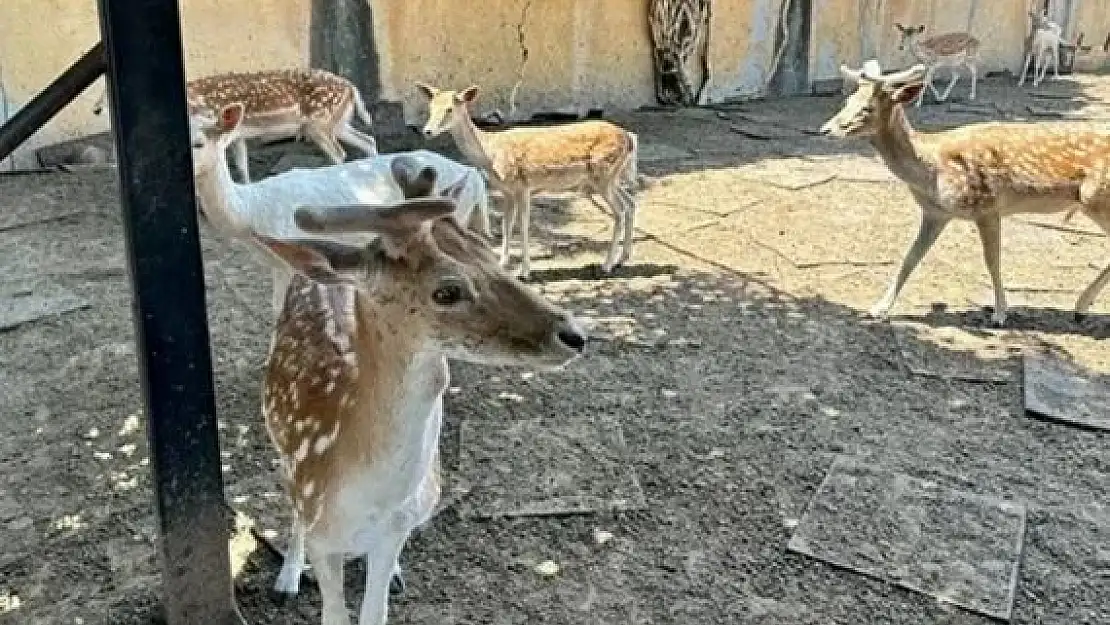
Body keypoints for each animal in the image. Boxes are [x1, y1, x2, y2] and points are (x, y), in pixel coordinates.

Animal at [97, 67, 379, 182]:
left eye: (111, 93)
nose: (96, 109)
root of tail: (352, 88)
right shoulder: (238, 134)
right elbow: (242, 164)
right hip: (337, 122)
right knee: (368, 140)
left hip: (318, 123)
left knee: (340, 153)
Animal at [254, 183, 586, 621]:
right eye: (447, 291)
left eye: (488, 251)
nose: (574, 335)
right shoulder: (323, 537)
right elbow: (334, 614)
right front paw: (293, 576)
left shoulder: (393, 531)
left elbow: (374, 614)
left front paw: (391, 577)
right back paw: (288, 576)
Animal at [415, 79, 643, 278]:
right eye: (431, 108)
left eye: (449, 109)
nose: (427, 131)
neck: (490, 152)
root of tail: (630, 138)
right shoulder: (506, 190)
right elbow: (506, 224)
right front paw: (502, 264)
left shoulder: (522, 186)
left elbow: (522, 225)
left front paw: (524, 272)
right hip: (610, 178)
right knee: (631, 203)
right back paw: (623, 258)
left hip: (603, 175)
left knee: (620, 211)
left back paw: (607, 265)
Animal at [816, 59, 1110, 328]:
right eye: (847, 100)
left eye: (868, 108)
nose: (825, 130)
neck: (931, 170)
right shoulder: (935, 213)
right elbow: (910, 258)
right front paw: (878, 308)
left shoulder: (987, 206)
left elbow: (992, 261)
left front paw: (1000, 314)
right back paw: (1080, 309)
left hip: (1097, 200)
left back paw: (1080, 307)